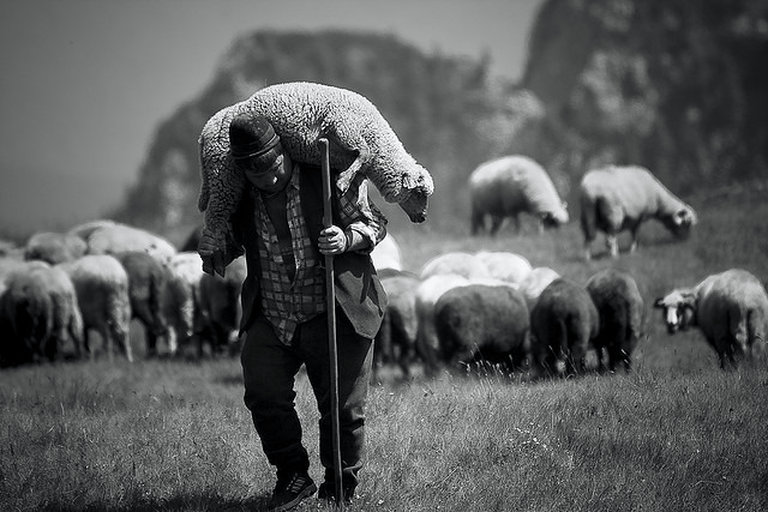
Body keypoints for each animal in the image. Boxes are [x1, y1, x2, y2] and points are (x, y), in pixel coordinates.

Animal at [198, 81, 436, 276]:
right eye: (419, 193)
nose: (423, 217)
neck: (377, 139)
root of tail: (205, 131)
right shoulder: (343, 126)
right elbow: (364, 153)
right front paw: (342, 182)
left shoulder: (350, 154)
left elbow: (360, 181)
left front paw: (361, 205)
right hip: (223, 172)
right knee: (215, 216)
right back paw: (210, 258)